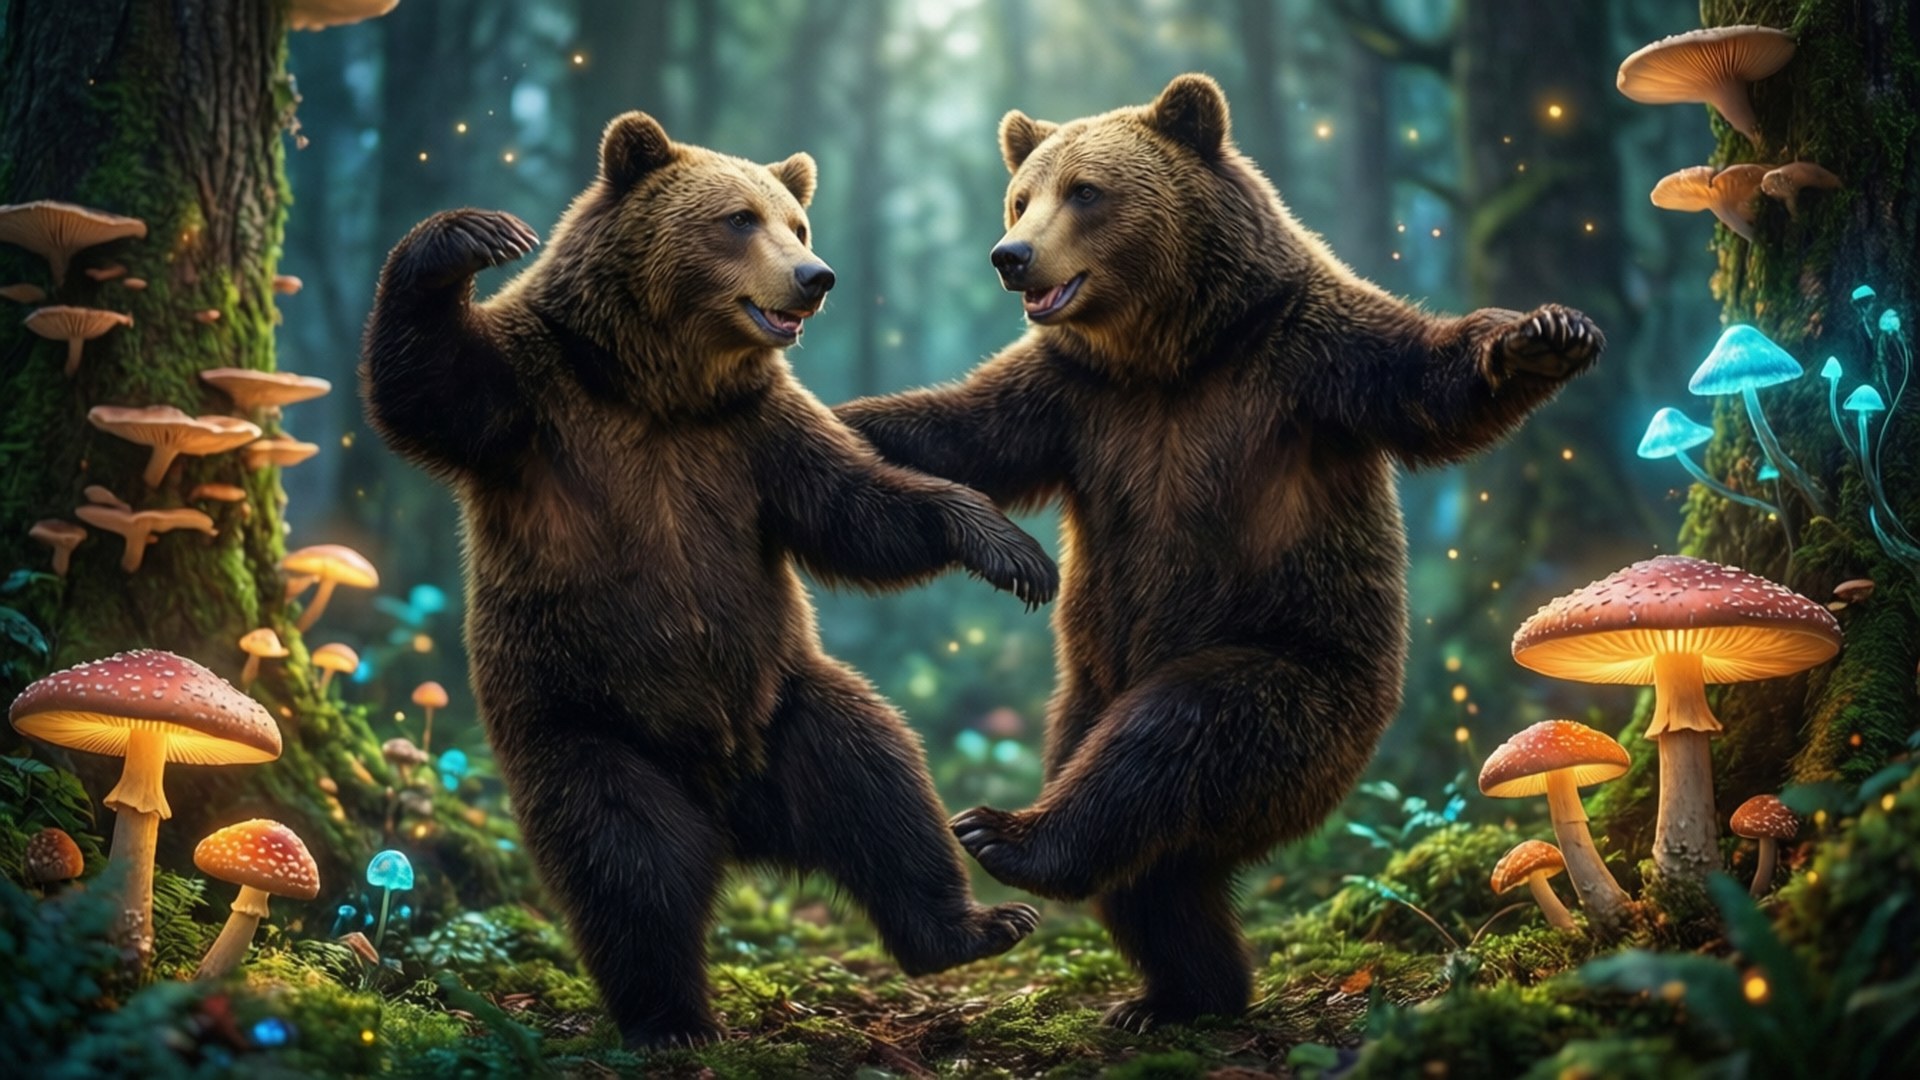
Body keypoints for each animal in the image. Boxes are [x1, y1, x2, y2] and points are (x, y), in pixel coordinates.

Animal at [360, 111, 1059, 1048]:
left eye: (797, 224)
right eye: (738, 219)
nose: (814, 277)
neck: (661, 386)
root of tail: (736, 818)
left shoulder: (754, 436)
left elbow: (854, 510)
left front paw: (1009, 548)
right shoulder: (539, 404)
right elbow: (423, 385)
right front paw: (474, 235)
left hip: (789, 703)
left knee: (882, 783)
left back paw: (973, 925)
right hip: (585, 722)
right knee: (628, 862)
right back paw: (671, 1016)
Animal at [835, 74, 1602, 1030]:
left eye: (1085, 191)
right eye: (1020, 196)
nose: (1010, 255)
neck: (1171, 353)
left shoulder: (1303, 362)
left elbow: (1430, 384)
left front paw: (1546, 333)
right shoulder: (1075, 400)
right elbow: (956, 433)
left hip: (1302, 679)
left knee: (1173, 736)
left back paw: (1011, 836)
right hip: (1087, 688)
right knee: (1155, 868)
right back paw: (1178, 991)